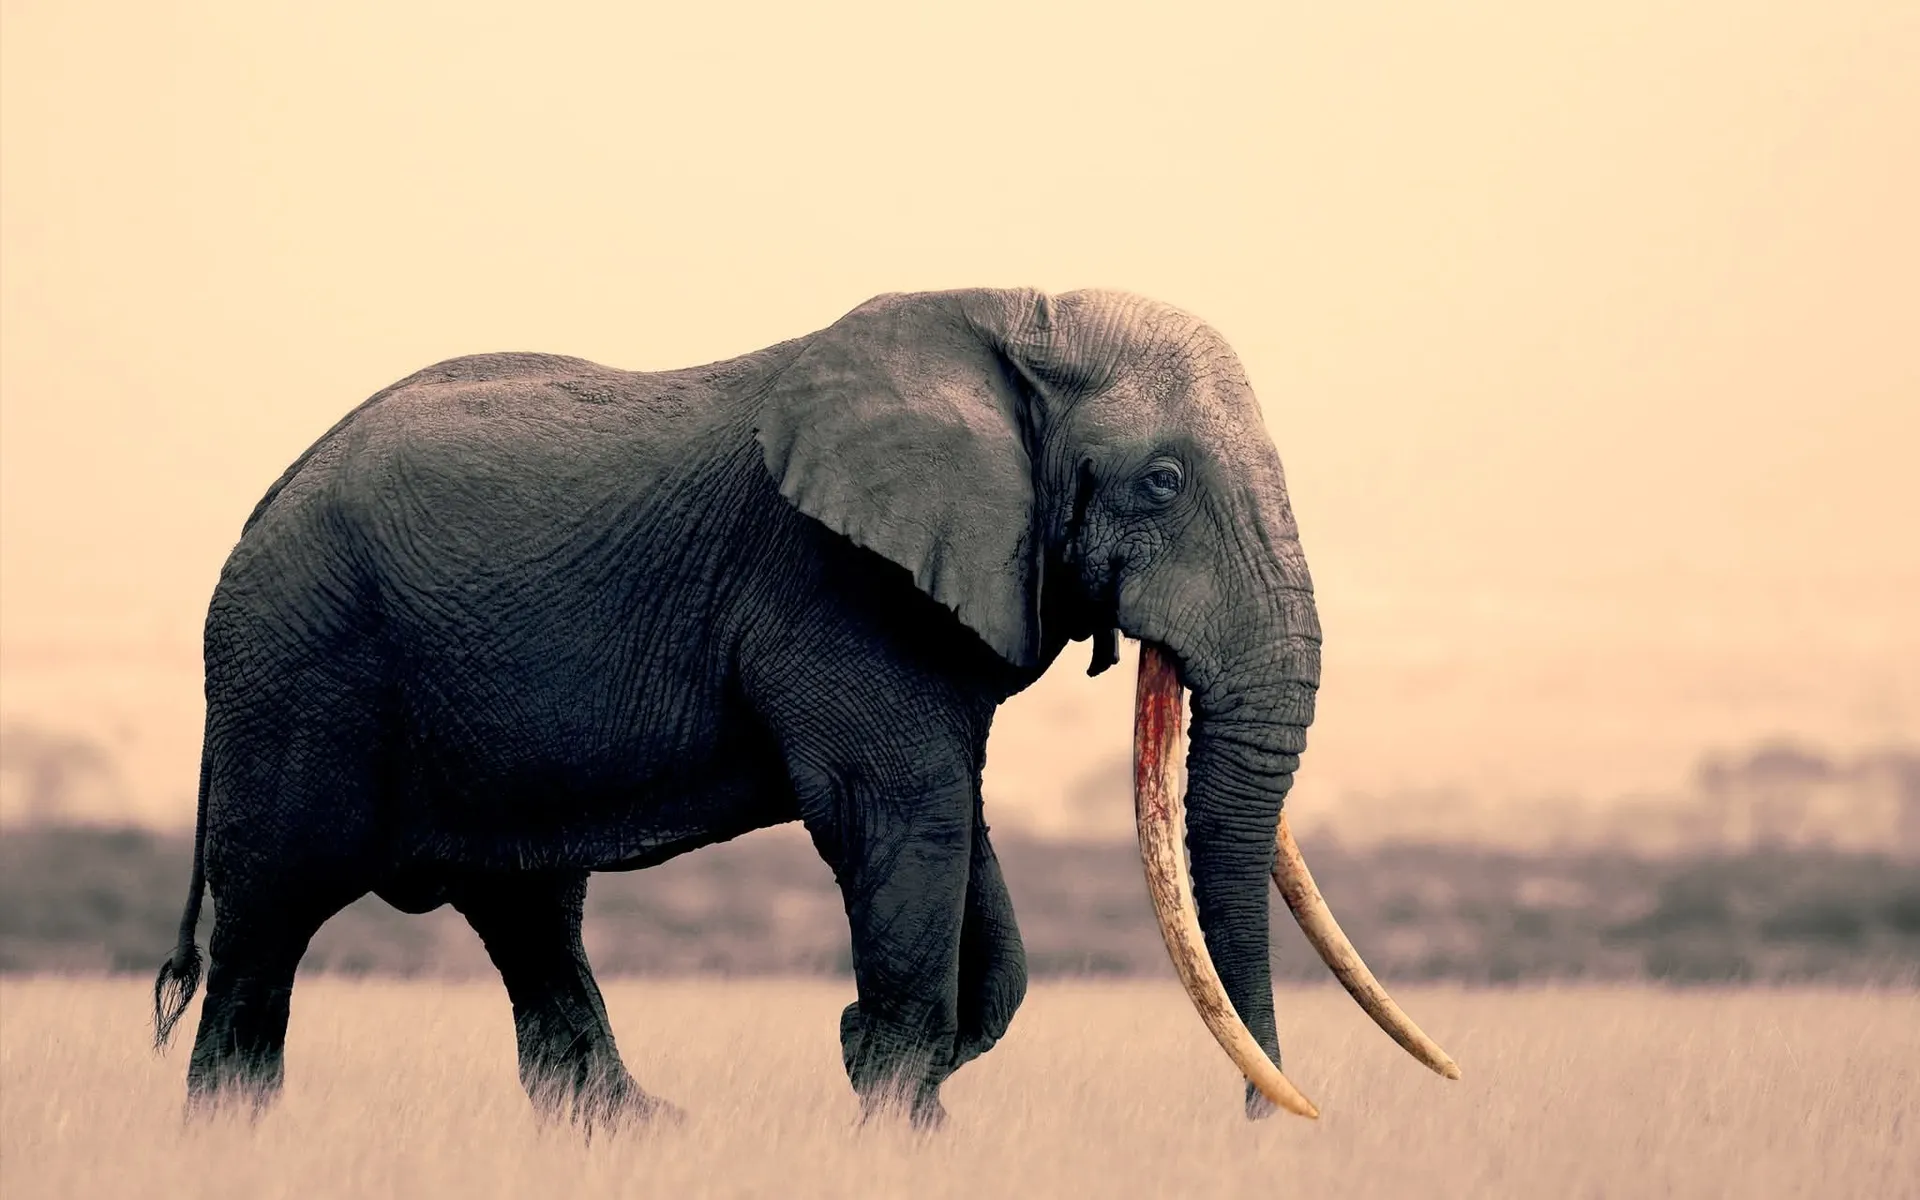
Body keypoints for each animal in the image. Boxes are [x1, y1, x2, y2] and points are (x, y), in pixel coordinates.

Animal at [152, 287, 1454, 1129]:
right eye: (1164, 482)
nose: (1269, 1123)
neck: (1014, 318)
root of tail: (268, 495)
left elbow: (960, 847)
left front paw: (885, 1078)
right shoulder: (834, 585)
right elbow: (903, 816)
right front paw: (886, 1105)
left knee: (529, 914)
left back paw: (642, 1136)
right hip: (300, 664)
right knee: (271, 918)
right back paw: (234, 1138)